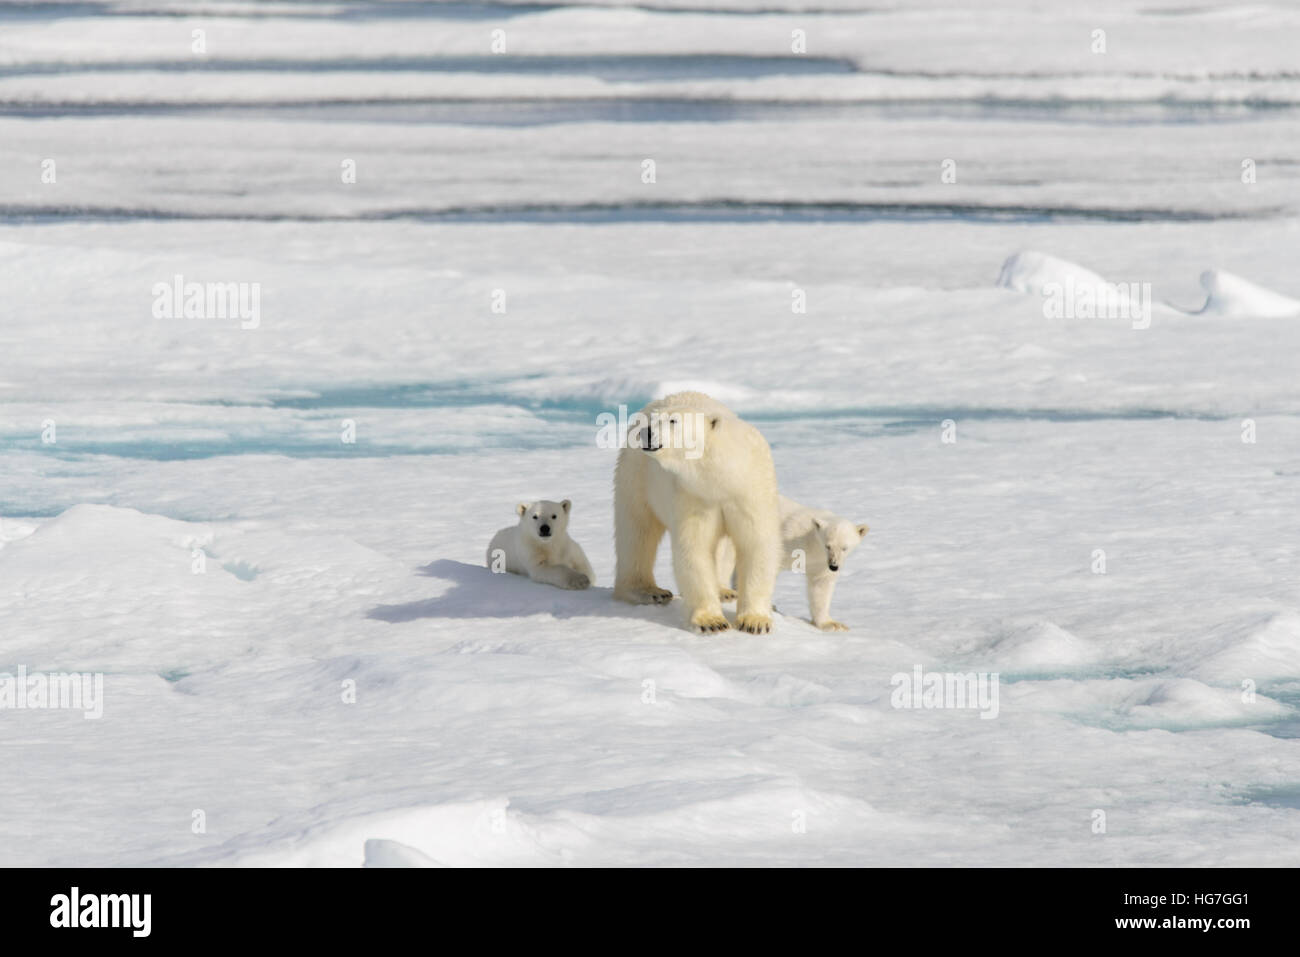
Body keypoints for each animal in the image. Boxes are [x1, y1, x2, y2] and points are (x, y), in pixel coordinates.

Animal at [613, 391, 781, 635]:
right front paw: (712, 622)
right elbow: (694, 548)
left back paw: (723, 590)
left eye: (673, 421)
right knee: (637, 530)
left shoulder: (750, 490)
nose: (647, 432)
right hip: (636, 475)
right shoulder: (691, 494)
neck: (722, 476)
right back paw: (649, 591)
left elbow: (757, 543)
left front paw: (754, 621)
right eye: (654, 420)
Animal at [716, 496, 868, 631]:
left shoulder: (820, 564)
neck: (811, 543)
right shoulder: (787, 539)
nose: (834, 566)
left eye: (845, 548)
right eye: (828, 546)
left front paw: (831, 624)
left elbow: (821, 586)